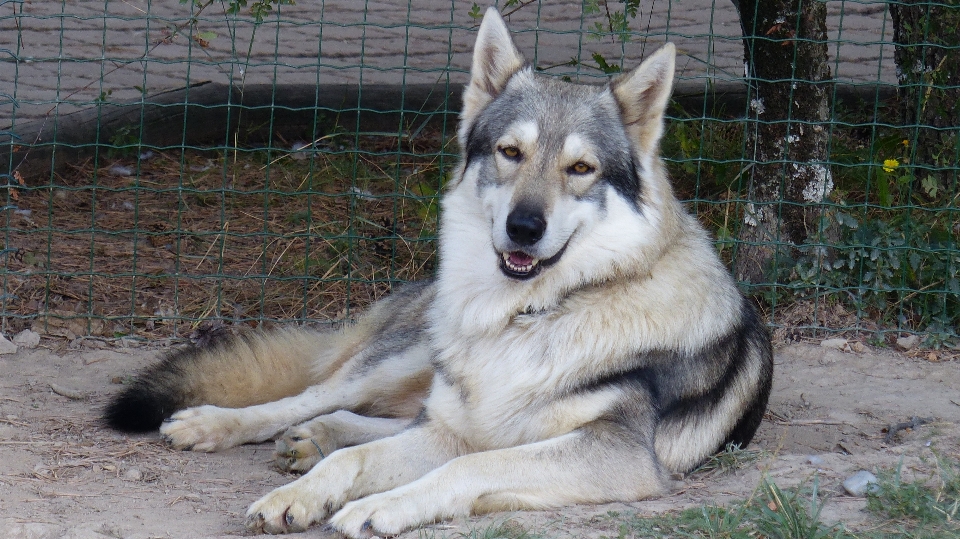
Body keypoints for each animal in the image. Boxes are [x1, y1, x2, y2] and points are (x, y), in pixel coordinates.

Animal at [103, 7, 772, 536]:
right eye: (510, 152)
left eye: (581, 168)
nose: (524, 228)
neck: (529, 316)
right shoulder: (462, 427)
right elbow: (362, 460)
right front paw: (297, 496)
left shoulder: (617, 454)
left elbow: (467, 464)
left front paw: (377, 507)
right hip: (409, 359)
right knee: (313, 398)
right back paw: (222, 426)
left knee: (365, 418)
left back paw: (311, 441)